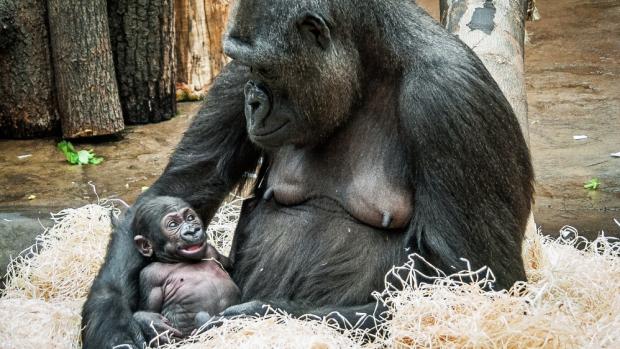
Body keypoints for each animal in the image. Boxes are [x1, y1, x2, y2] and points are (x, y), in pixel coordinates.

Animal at [131, 196, 240, 340]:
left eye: (190, 218)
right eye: (173, 224)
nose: (192, 230)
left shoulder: (212, 251)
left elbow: (229, 264)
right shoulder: (150, 276)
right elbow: (149, 309)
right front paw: (149, 321)